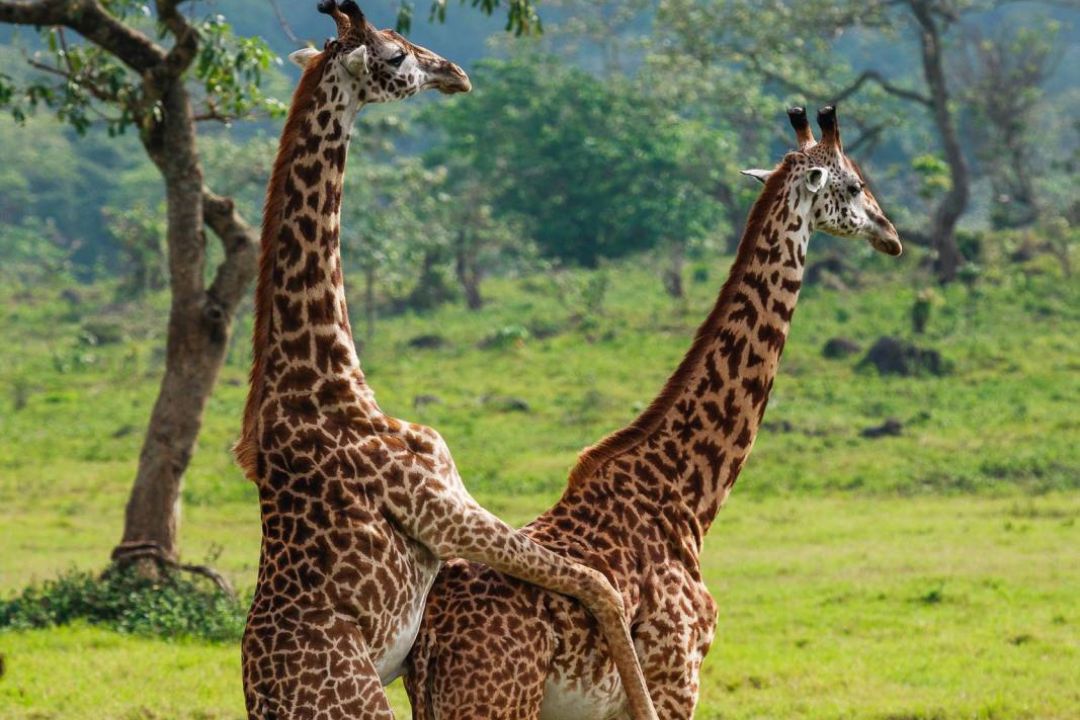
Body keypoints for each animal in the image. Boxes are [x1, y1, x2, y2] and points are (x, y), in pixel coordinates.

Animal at [236, 2, 658, 718]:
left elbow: (594, 581)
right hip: (361, 702)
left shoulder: (450, 507)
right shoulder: (444, 514)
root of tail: (269, 698)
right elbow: (598, 583)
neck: (330, 375)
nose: (455, 72)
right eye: (395, 56)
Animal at [405, 105, 903, 720]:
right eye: (854, 185)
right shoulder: (676, 679)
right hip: (494, 700)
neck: (687, 496)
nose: (891, 235)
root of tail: (433, 635)